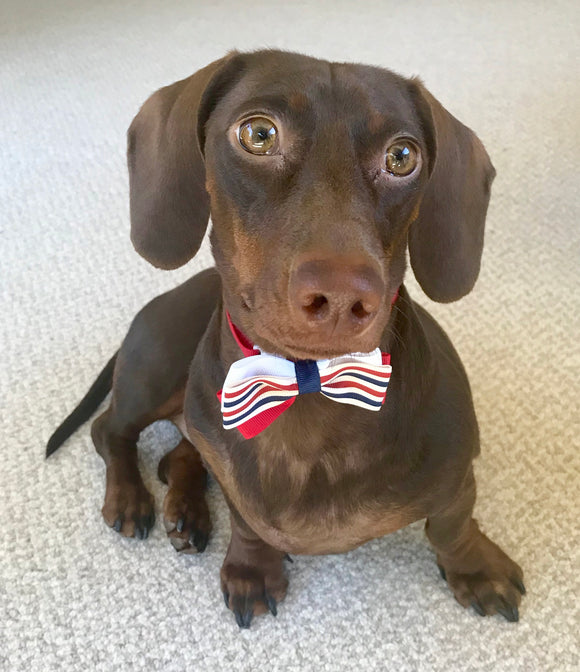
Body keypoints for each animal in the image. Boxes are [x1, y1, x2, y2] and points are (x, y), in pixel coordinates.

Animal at [47, 50, 524, 628]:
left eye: (402, 155)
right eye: (258, 133)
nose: (341, 296)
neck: (306, 385)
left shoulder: (458, 477)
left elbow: (451, 527)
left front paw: (475, 567)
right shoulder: (236, 481)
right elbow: (248, 522)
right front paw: (251, 569)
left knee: (177, 456)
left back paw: (187, 512)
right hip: (155, 369)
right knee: (109, 431)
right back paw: (131, 499)